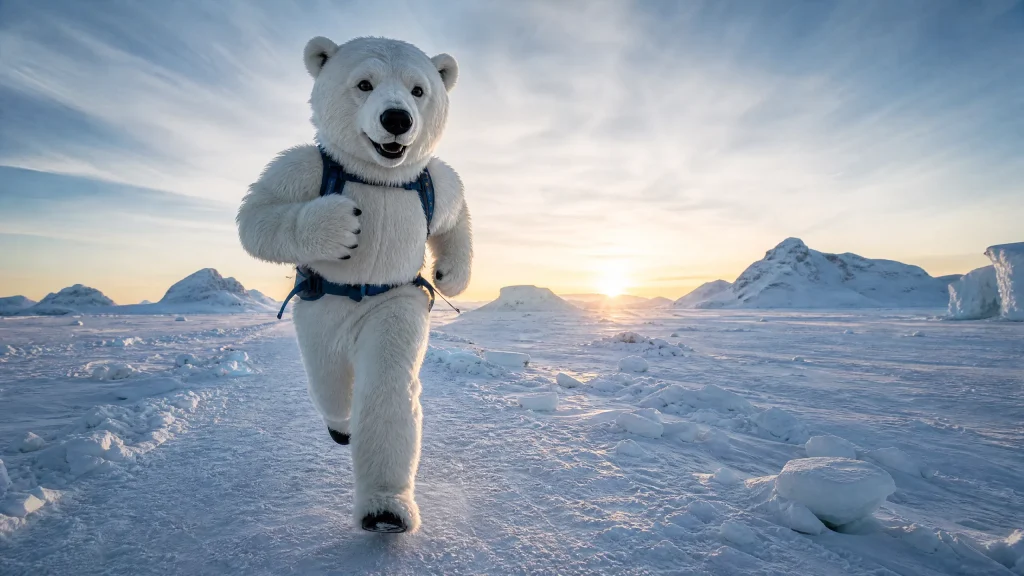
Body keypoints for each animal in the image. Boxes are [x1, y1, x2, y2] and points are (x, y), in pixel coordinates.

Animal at [236, 36, 472, 533]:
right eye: (364, 83)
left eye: (419, 89)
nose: (397, 119)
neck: (379, 179)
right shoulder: (303, 167)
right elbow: (257, 215)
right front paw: (337, 224)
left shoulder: (431, 193)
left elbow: (453, 212)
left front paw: (386, 509)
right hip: (317, 319)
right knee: (328, 382)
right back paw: (339, 424)